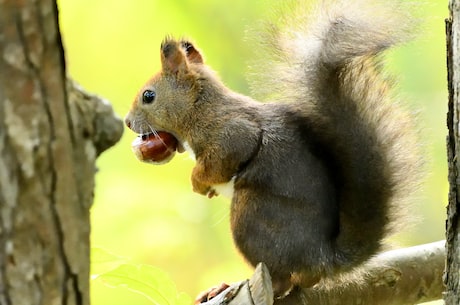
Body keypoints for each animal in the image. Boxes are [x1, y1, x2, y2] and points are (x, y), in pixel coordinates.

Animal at [125, 0, 420, 300]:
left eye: (149, 96)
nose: (127, 122)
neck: (201, 106)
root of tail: (322, 257)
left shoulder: (230, 132)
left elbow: (224, 158)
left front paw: (198, 182)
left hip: (249, 217)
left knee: (280, 278)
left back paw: (234, 285)